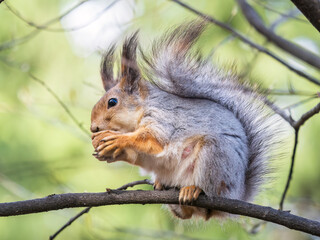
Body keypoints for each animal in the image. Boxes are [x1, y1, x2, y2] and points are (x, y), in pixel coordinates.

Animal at [89, 22, 282, 219]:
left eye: (112, 102)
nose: (93, 128)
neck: (142, 111)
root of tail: (238, 193)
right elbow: (137, 154)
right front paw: (107, 151)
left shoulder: (164, 120)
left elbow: (152, 141)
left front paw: (116, 139)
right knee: (186, 213)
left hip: (214, 157)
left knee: (208, 195)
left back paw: (193, 189)